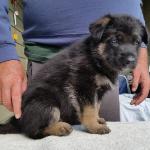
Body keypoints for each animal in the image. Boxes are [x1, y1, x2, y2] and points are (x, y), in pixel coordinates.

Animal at [0, 14, 148, 139]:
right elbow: (90, 109)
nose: (131, 60)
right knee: (33, 131)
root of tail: (18, 121)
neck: (96, 58)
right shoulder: (84, 86)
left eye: (137, 42)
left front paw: (97, 120)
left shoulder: (98, 91)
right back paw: (60, 128)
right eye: (115, 41)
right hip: (45, 103)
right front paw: (94, 126)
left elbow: (96, 106)